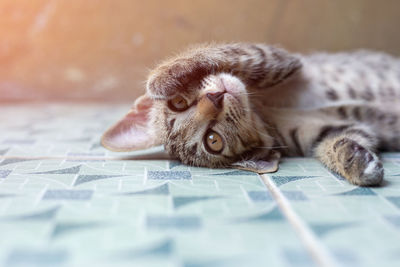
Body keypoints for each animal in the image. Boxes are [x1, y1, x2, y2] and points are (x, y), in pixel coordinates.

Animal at [101, 43, 400, 186]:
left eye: (177, 102)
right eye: (213, 140)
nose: (214, 98)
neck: (265, 111)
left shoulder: (281, 59)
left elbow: (229, 52)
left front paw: (165, 75)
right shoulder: (329, 128)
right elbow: (337, 142)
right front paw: (356, 162)